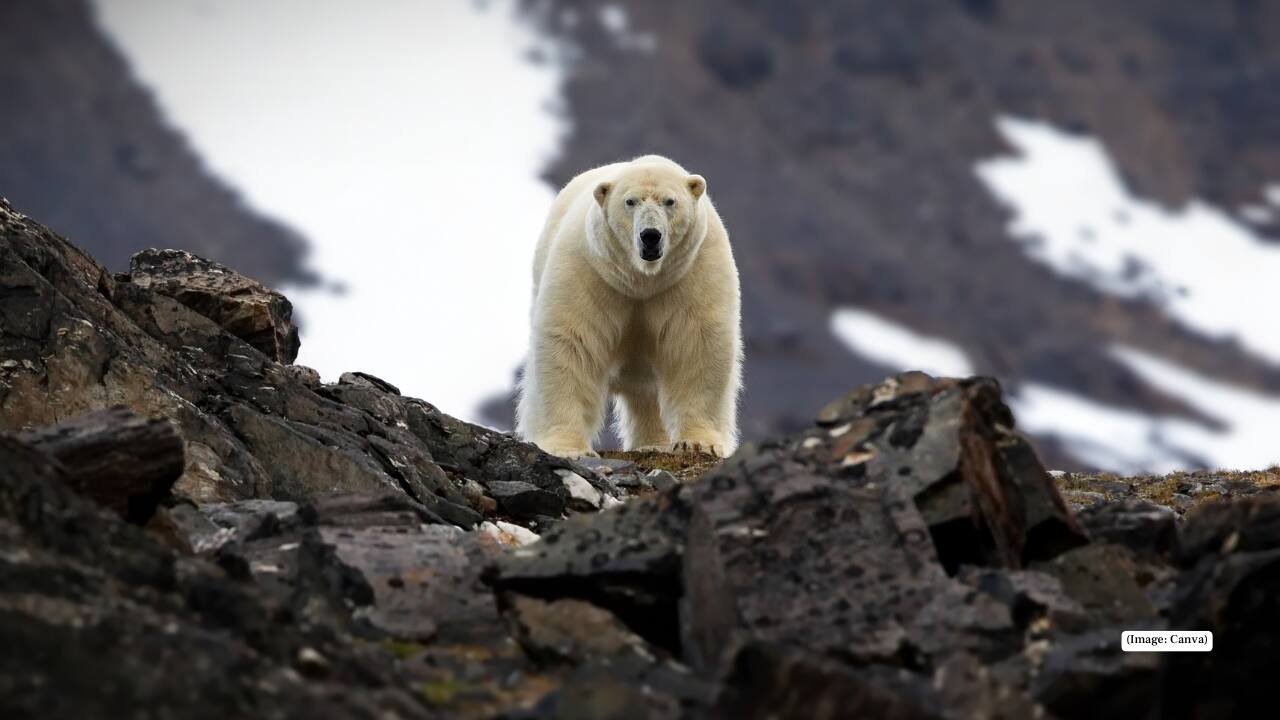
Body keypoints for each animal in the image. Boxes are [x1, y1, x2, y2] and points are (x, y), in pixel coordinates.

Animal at [516, 154, 743, 459]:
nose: (650, 235)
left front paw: (698, 442)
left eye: (670, 201)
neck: (642, 280)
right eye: (630, 201)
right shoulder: (590, 271)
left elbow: (697, 344)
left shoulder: (693, 271)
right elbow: (571, 343)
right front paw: (568, 448)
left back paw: (654, 443)